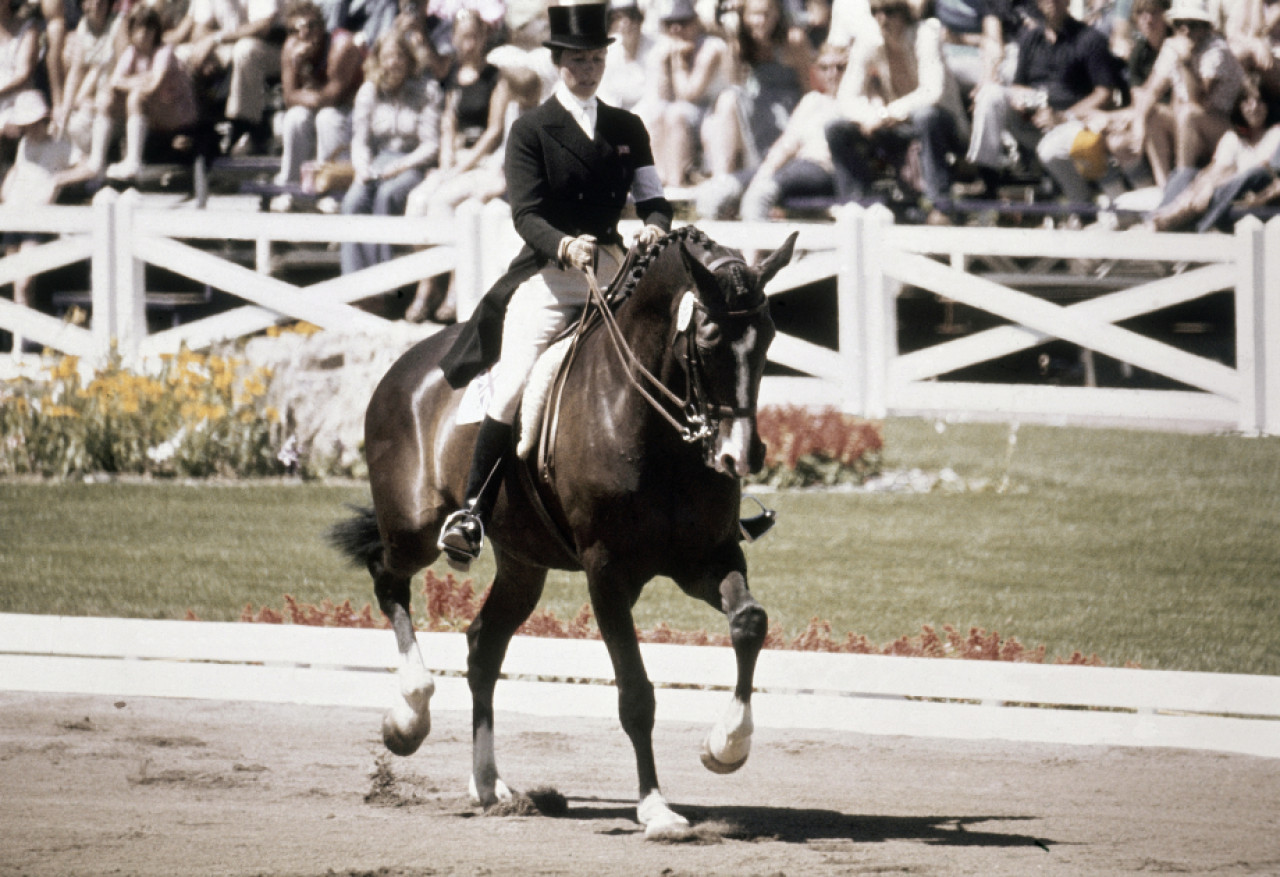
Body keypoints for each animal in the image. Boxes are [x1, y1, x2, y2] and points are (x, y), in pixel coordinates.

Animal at [325, 224, 793, 834]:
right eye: (710, 338)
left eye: (768, 337)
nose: (741, 455)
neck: (653, 424)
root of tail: (407, 365)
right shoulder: (606, 572)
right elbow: (636, 693)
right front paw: (655, 808)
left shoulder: (705, 559)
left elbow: (750, 622)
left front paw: (726, 747)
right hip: (414, 529)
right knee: (387, 576)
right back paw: (409, 715)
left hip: (523, 563)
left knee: (483, 645)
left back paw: (490, 786)